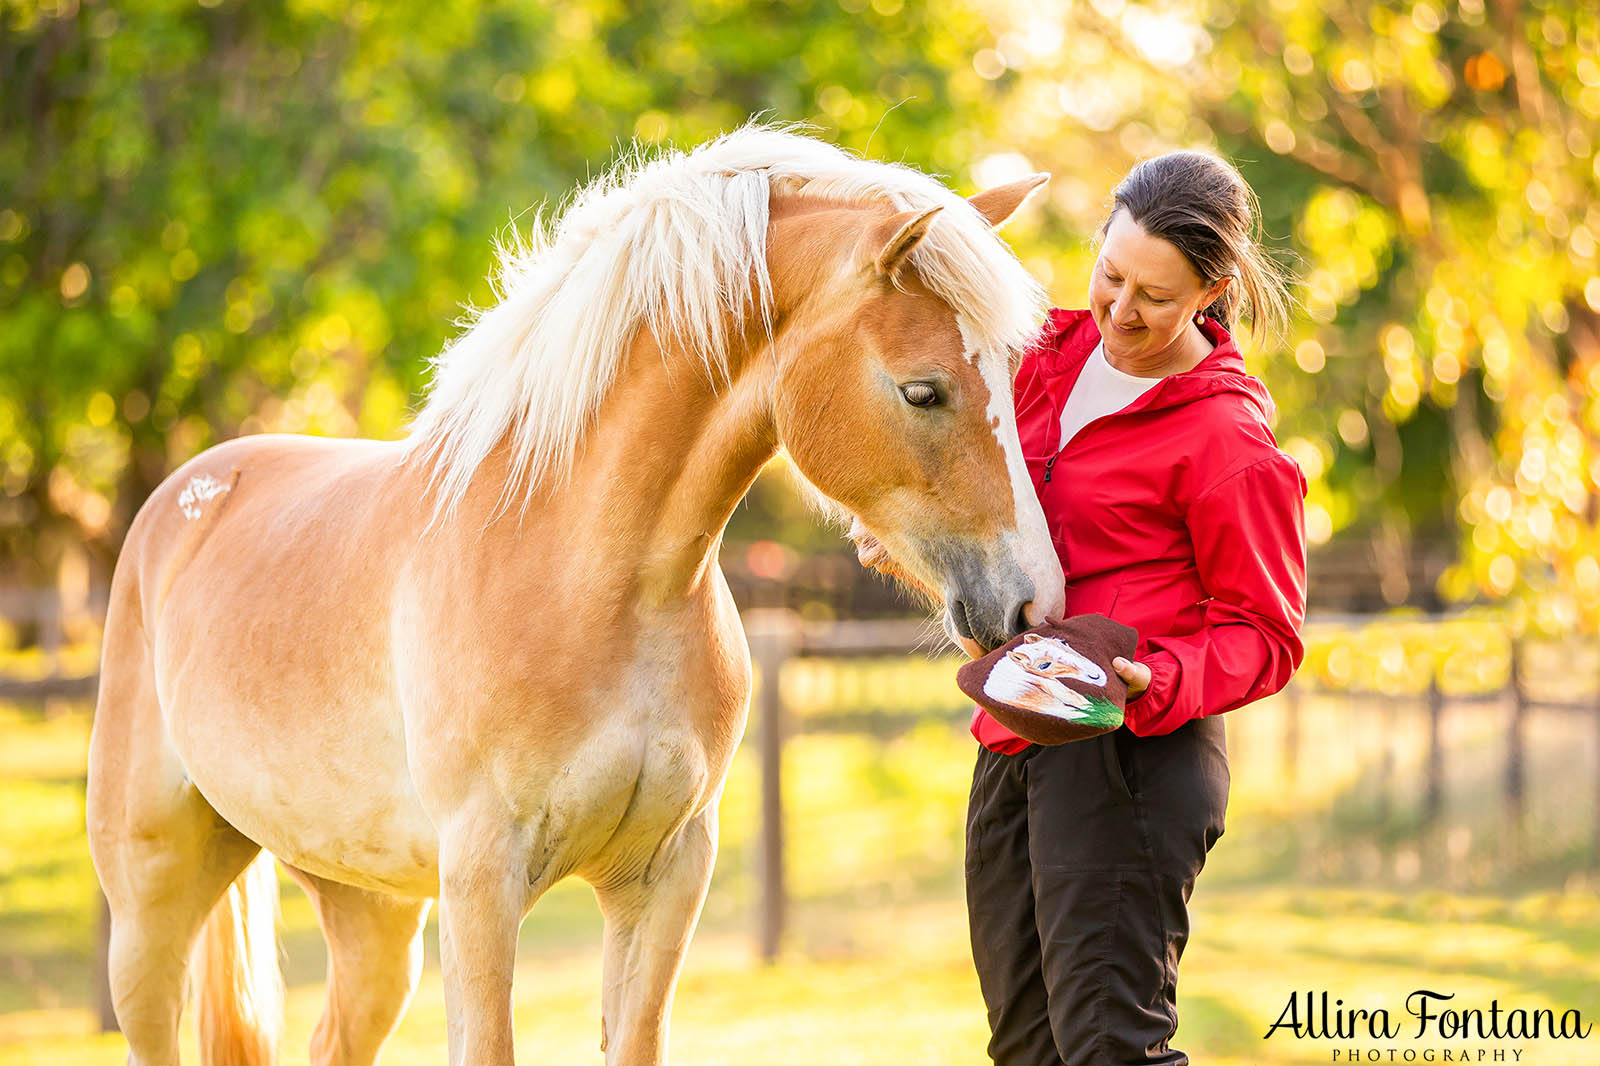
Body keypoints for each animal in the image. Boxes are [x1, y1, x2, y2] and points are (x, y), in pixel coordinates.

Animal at [84, 126, 1062, 1062]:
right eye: (922, 391)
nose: (1032, 604)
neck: (587, 580)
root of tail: (188, 495)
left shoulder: (665, 877)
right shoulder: (482, 884)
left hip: (371, 909)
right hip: (150, 911)